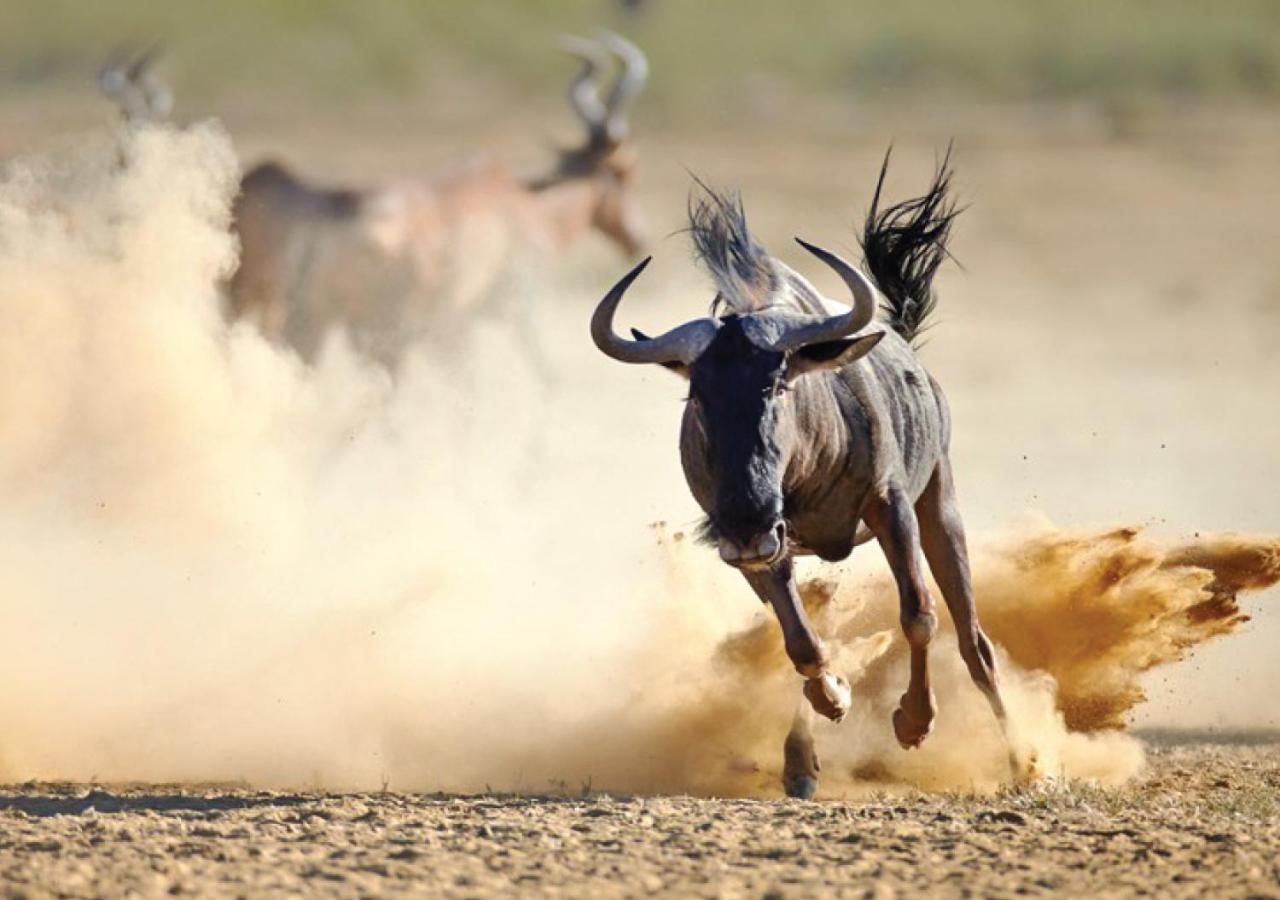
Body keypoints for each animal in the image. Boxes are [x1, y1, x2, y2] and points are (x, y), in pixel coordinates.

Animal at [227, 32, 650, 363]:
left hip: (311, 327)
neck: (516, 201)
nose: (637, 239)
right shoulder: (510, 314)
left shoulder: (459, 329)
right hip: (383, 332)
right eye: (624, 172)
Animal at [586, 152, 1013, 793]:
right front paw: (833, 697)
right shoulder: (759, 548)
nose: (748, 523)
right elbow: (802, 641)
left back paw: (1023, 757)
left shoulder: (890, 508)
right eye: (697, 395)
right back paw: (802, 759)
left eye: (776, 384)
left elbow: (918, 613)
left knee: (973, 639)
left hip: (941, 504)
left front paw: (914, 722)